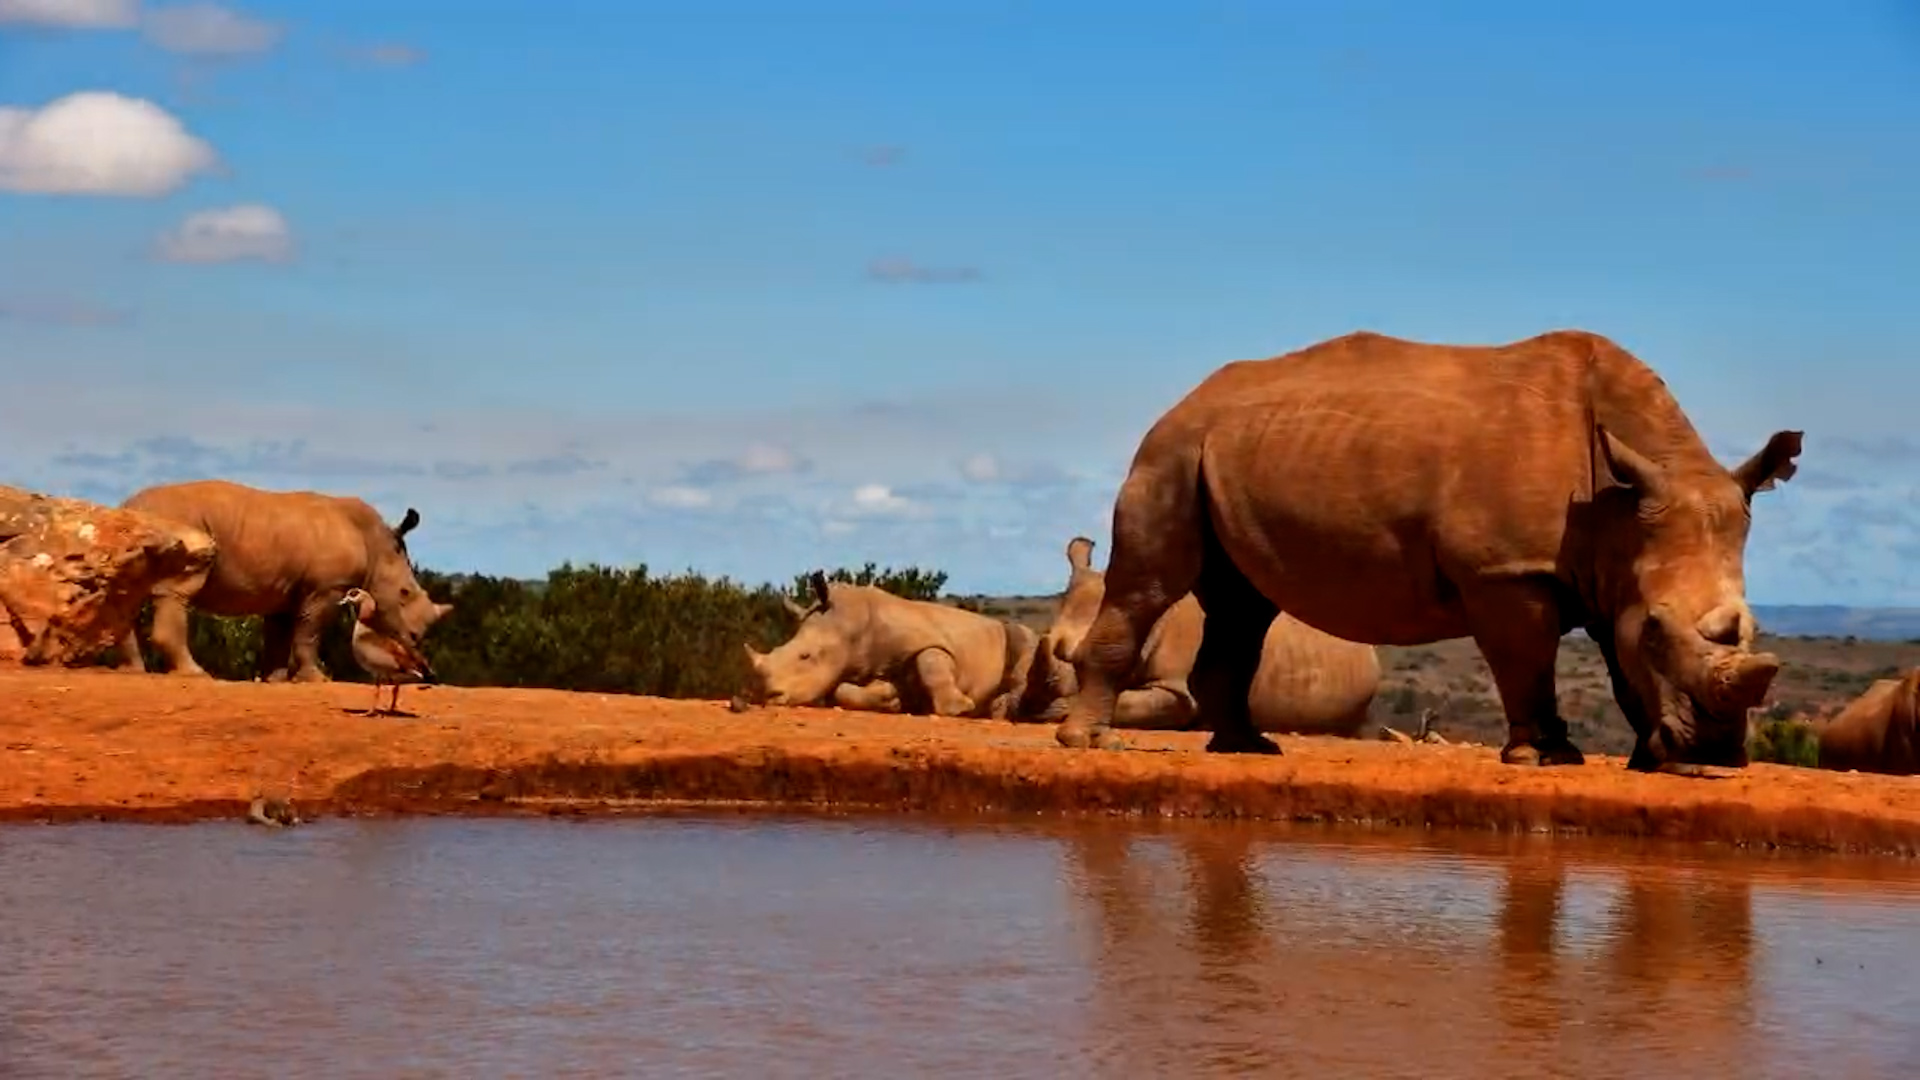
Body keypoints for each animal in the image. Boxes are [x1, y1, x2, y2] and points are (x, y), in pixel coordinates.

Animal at [115, 479, 450, 683]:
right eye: (404, 593)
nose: (415, 639)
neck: (376, 544)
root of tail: (128, 507)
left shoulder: (284, 592)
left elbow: (280, 636)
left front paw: (273, 680)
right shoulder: (326, 588)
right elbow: (309, 633)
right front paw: (316, 680)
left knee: (128, 594)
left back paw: (132, 672)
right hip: (180, 523)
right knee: (177, 590)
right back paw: (196, 675)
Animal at [741, 570, 1044, 719]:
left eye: (805, 656)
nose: (767, 695)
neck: (851, 627)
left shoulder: (930, 640)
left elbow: (932, 663)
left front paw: (958, 709)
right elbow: (841, 691)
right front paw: (893, 699)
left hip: (1012, 632)